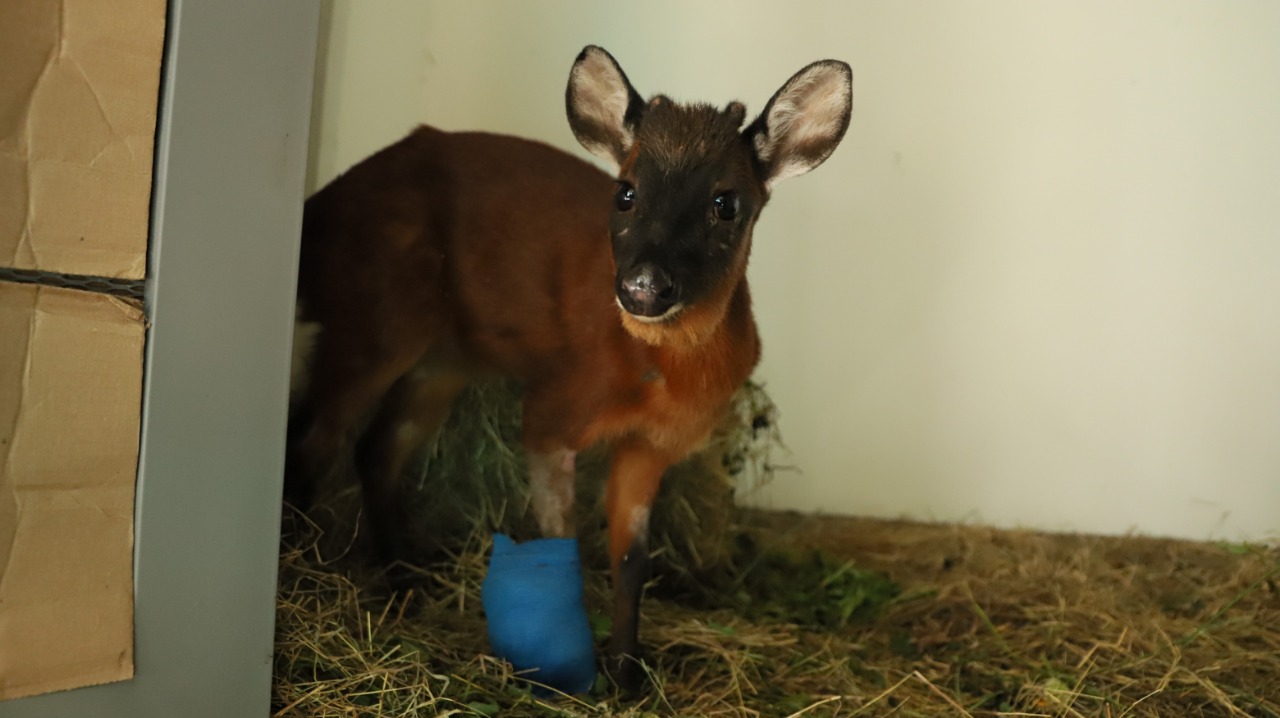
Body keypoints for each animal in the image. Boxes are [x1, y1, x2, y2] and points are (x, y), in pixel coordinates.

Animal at [285, 44, 855, 691]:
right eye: (626, 192)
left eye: (726, 202)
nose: (643, 287)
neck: (652, 375)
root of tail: (316, 210)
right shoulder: (551, 412)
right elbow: (564, 543)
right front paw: (568, 673)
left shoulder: (653, 445)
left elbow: (631, 561)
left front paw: (628, 676)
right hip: (372, 324)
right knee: (311, 437)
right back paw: (305, 573)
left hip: (441, 360)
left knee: (376, 448)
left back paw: (406, 580)